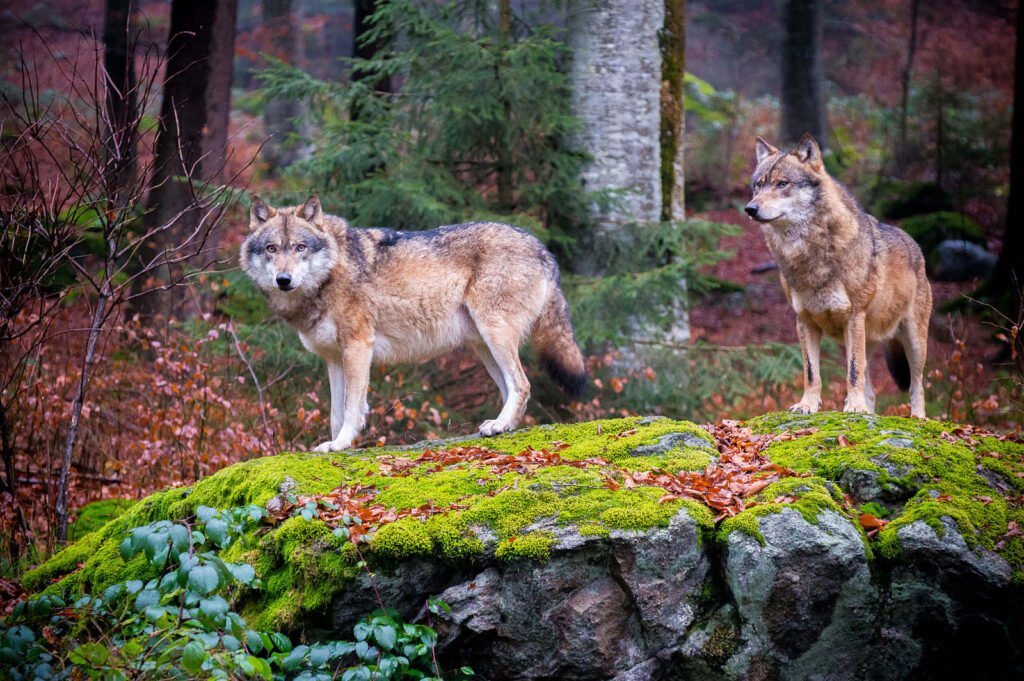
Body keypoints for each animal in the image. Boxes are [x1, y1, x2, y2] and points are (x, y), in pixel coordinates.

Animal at [241, 195, 587, 451]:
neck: (330, 274)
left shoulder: (358, 347)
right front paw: (335, 444)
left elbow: (352, 408)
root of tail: (545, 250)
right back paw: (501, 426)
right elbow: (335, 413)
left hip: (495, 334)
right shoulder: (334, 359)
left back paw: (500, 426)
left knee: (522, 385)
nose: (283, 279)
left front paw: (341, 444)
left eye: (300, 247)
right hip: (485, 347)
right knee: (513, 389)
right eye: (272, 249)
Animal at [745, 134, 932, 417]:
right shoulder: (803, 320)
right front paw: (807, 405)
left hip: (913, 341)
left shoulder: (854, 316)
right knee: (872, 389)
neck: (810, 256)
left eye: (782, 184)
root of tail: (916, 245)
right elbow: (811, 372)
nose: (750, 208)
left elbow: (852, 372)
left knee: (917, 383)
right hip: (867, 340)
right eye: (759, 185)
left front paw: (854, 407)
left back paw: (917, 417)